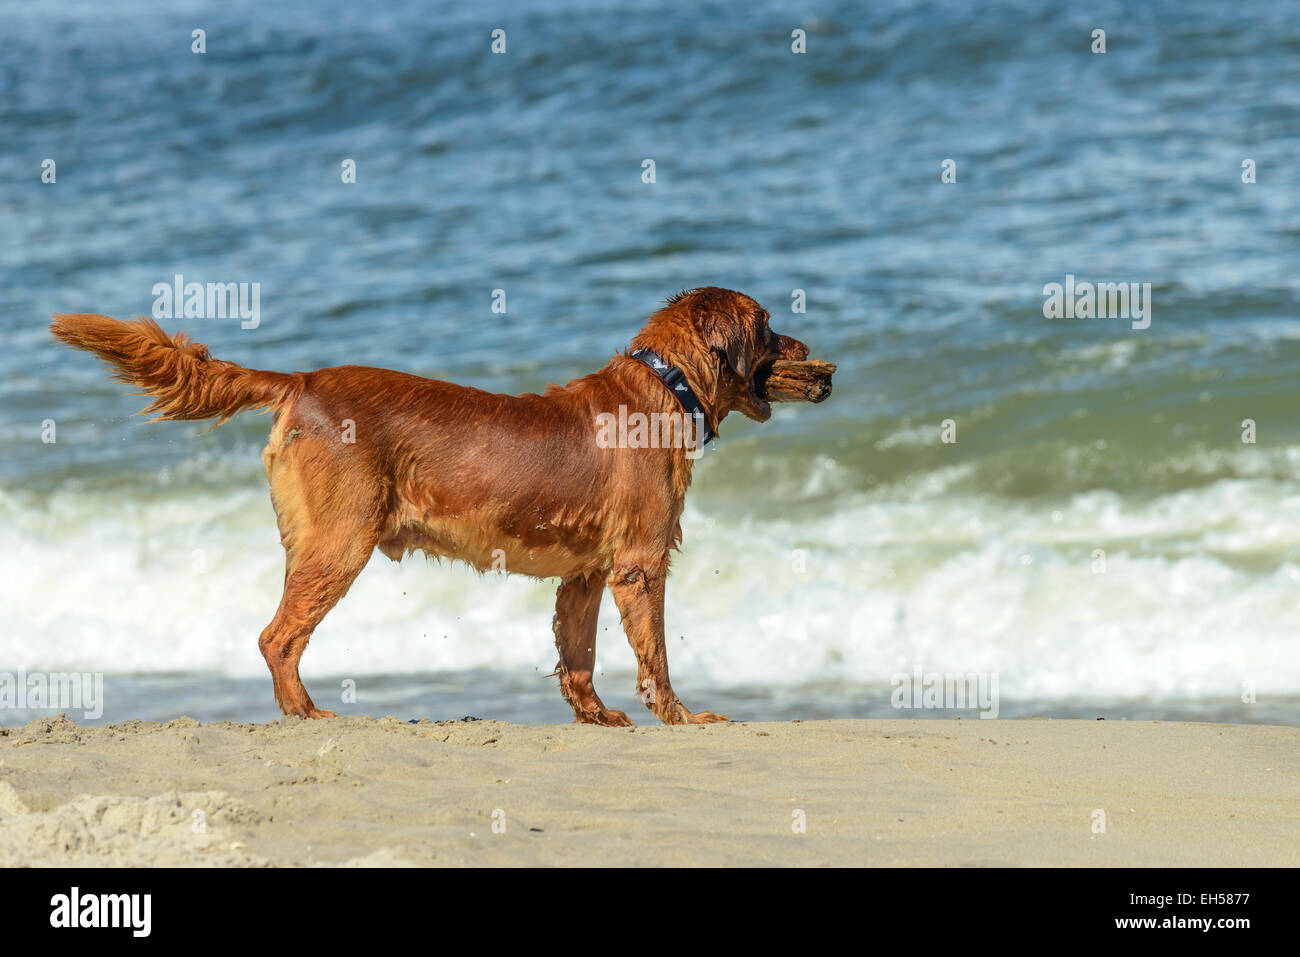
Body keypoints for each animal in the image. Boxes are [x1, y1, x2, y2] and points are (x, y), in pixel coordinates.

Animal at [55, 289, 806, 722]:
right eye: (770, 326)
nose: (812, 353)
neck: (665, 387)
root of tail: (301, 380)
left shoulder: (586, 573)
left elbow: (578, 655)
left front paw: (596, 716)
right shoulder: (640, 566)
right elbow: (656, 659)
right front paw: (682, 717)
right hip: (341, 542)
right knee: (277, 636)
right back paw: (306, 712)